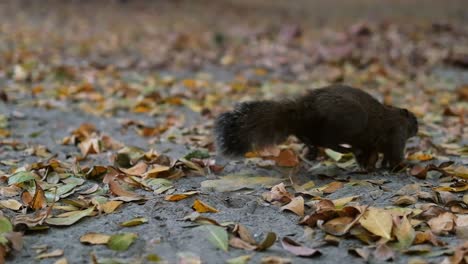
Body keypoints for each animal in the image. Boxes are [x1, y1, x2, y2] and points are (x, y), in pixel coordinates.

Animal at [214, 84, 418, 171]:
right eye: (415, 121)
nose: (418, 128)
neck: (395, 116)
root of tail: (305, 109)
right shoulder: (396, 134)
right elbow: (394, 154)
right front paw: (404, 165)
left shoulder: (372, 144)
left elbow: (373, 155)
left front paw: (371, 166)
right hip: (346, 123)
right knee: (328, 141)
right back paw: (346, 149)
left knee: (309, 137)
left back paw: (311, 149)